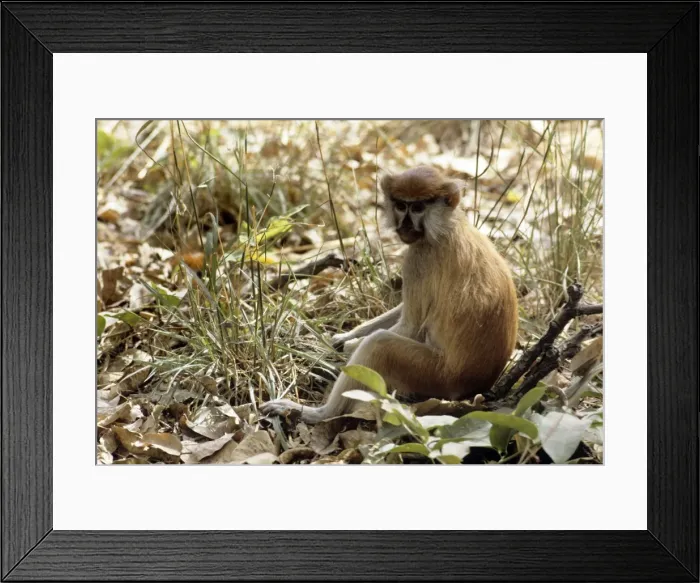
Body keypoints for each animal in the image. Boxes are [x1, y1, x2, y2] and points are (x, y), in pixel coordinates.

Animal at [261, 165, 518, 424]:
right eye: (401, 205)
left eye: (417, 208)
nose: (405, 224)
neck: (449, 225)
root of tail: (475, 386)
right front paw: (342, 338)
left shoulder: (419, 258)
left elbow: (411, 328)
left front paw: (347, 348)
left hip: (435, 374)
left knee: (380, 345)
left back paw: (318, 414)